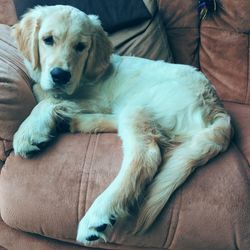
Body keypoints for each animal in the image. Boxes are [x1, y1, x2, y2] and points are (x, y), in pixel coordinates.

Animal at [12, 4, 232, 245]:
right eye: (48, 40)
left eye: (80, 47)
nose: (60, 75)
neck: (86, 77)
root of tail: (217, 107)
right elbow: (40, 90)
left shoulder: (97, 99)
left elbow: (49, 99)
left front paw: (29, 131)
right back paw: (74, 122)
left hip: (140, 104)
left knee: (146, 155)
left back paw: (98, 215)